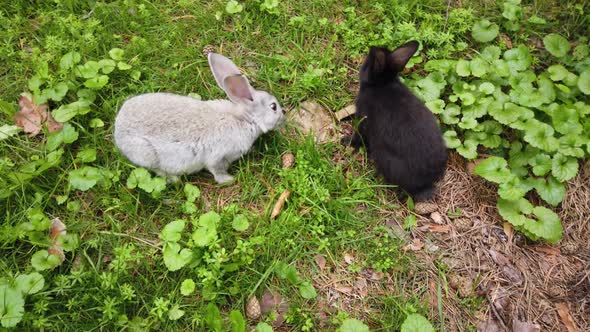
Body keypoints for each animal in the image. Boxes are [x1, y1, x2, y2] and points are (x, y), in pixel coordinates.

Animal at [115, 53, 286, 184]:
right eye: (273, 106)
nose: (283, 116)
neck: (244, 119)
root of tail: (118, 129)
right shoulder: (218, 156)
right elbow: (216, 170)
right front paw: (229, 180)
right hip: (148, 154)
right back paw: (174, 179)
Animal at [346, 41, 448, 202]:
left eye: (366, 64)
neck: (382, 84)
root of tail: (426, 182)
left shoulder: (363, 119)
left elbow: (358, 136)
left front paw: (346, 141)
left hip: (383, 156)